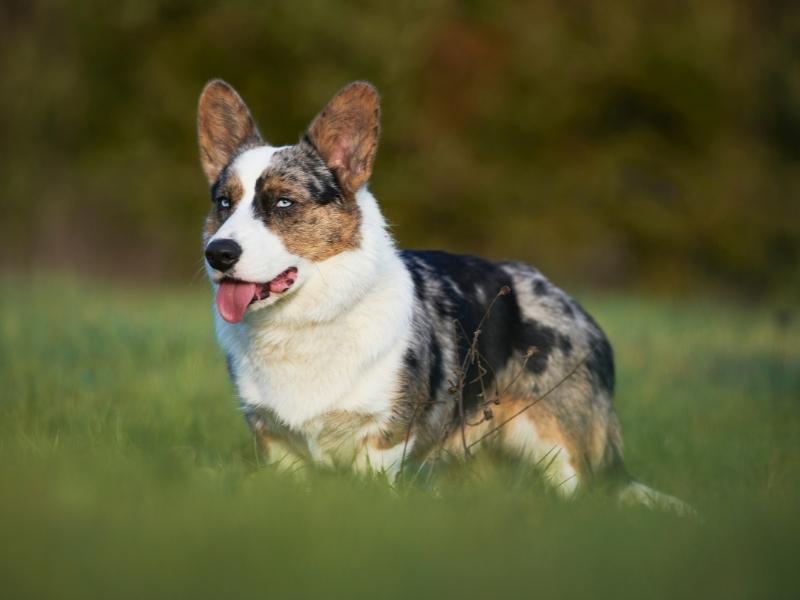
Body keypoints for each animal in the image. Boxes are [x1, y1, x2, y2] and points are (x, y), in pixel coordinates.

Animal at [197, 79, 692, 510]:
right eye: (224, 203)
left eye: (283, 203)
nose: (218, 253)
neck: (306, 323)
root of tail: (577, 310)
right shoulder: (276, 442)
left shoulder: (384, 441)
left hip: (558, 449)